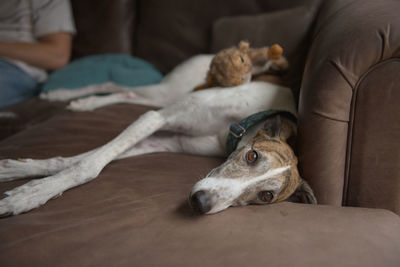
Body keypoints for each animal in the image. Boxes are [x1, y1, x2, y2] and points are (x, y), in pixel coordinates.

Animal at [0, 47, 316, 217]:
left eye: (266, 196)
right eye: (252, 156)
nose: (200, 203)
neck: (234, 127)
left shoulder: (167, 139)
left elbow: (80, 159)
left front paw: (19, 172)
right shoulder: (156, 118)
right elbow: (88, 165)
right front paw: (29, 195)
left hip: (163, 98)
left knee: (126, 93)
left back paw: (85, 103)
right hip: (168, 93)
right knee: (117, 85)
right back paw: (64, 95)